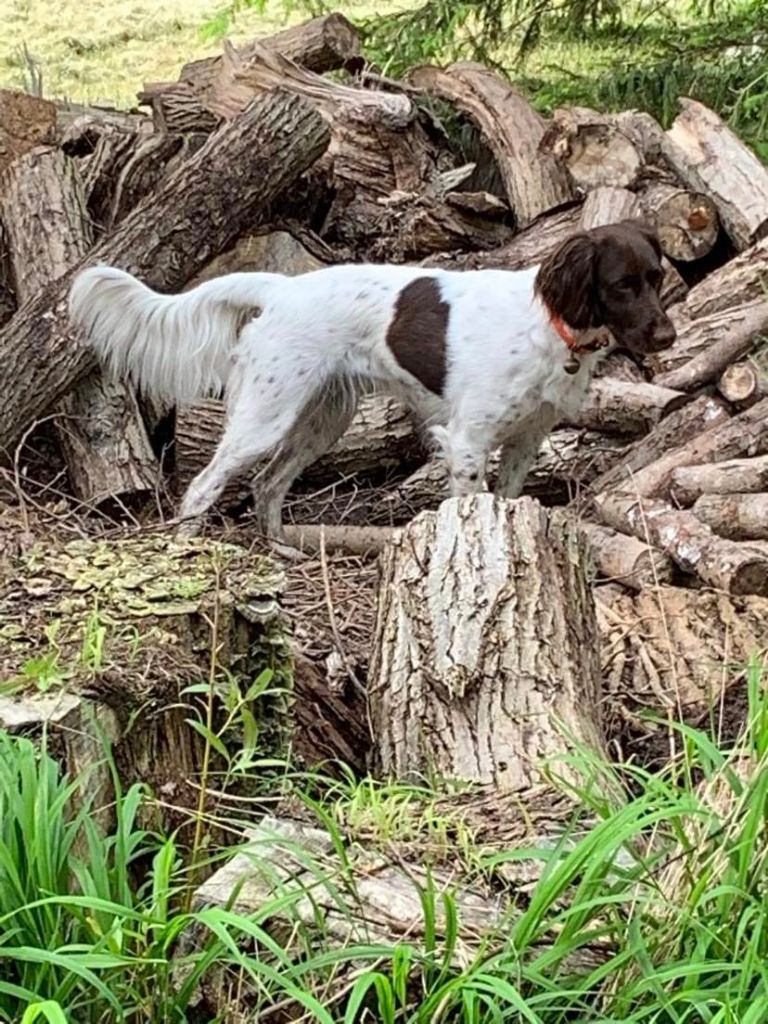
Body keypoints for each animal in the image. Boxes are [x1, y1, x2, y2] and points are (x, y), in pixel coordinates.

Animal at [69, 220, 675, 540]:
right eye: (621, 285)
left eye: (656, 276)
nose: (668, 336)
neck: (549, 326)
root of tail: (282, 287)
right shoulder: (468, 439)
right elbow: (469, 502)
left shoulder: (527, 438)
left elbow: (504, 501)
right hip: (267, 414)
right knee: (204, 484)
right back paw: (188, 546)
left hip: (322, 419)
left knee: (267, 483)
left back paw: (280, 550)